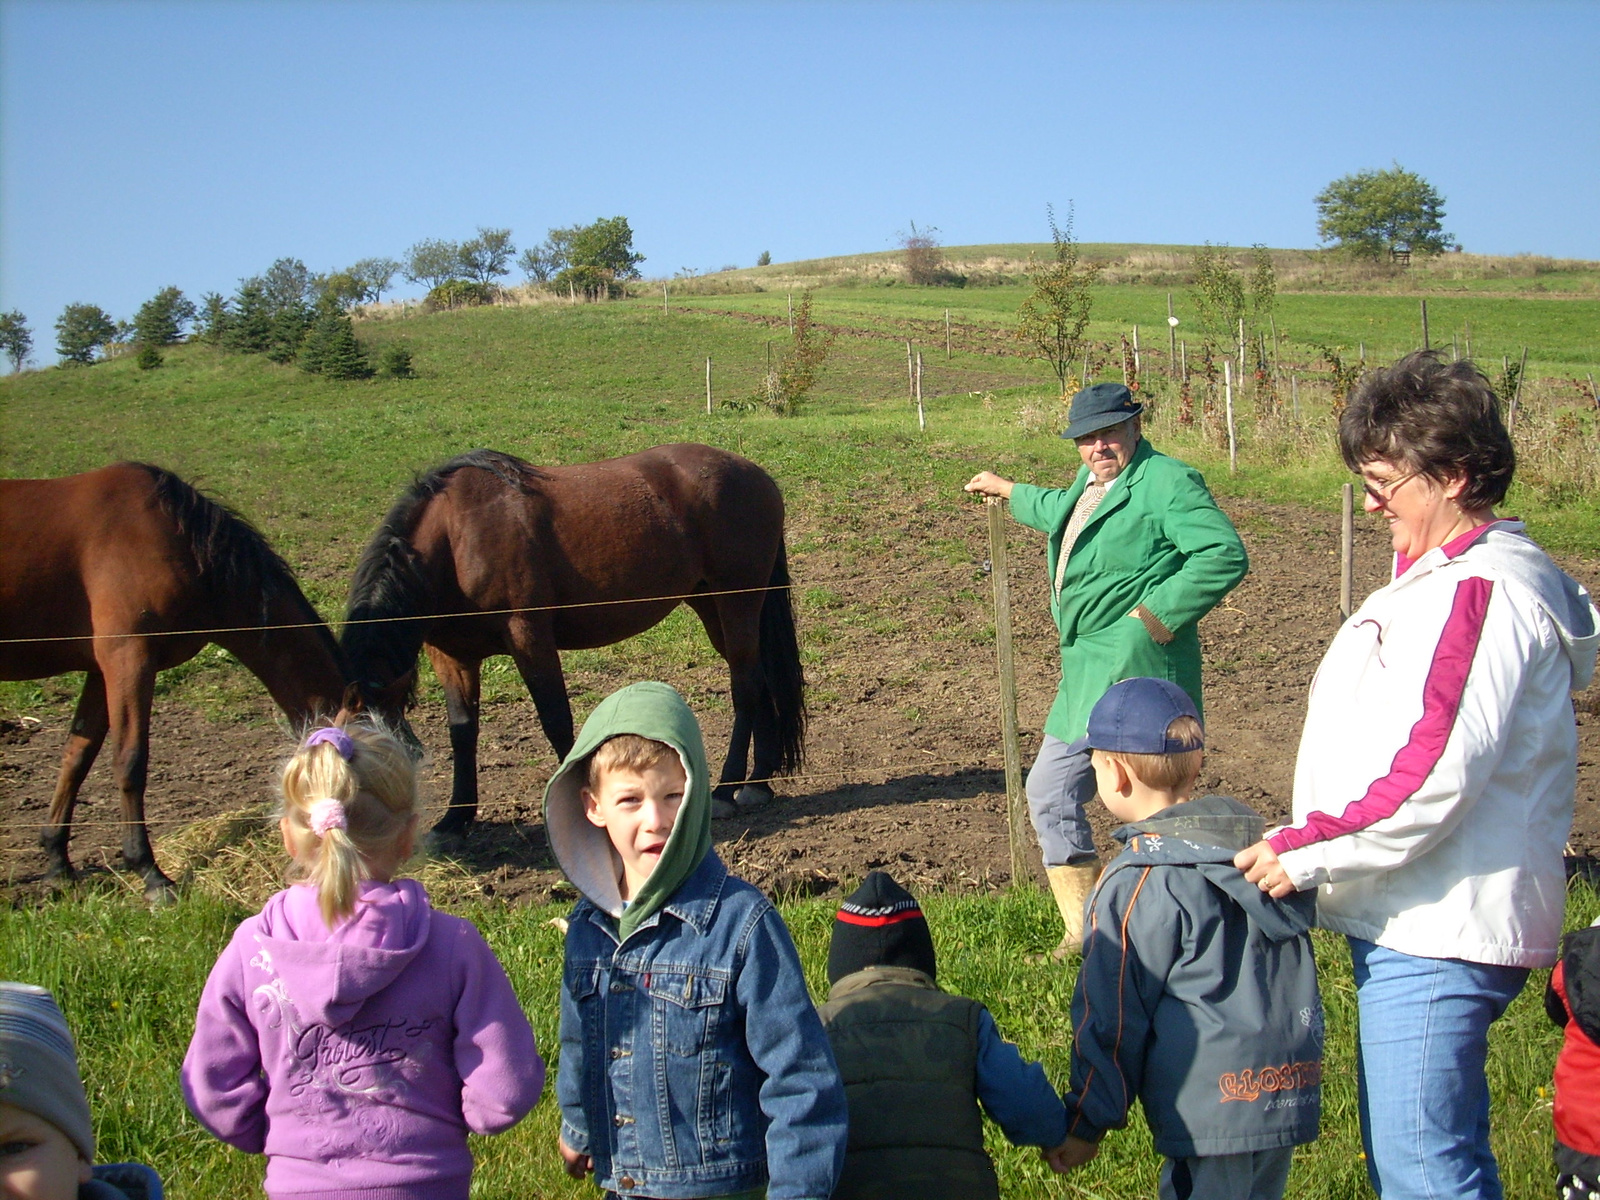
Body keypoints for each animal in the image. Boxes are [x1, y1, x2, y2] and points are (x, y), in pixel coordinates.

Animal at [0, 464, 348, 896]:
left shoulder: (100, 670)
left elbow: (76, 756)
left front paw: (57, 863)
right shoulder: (128, 660)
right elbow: (130, 762)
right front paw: (148, 871)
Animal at [344, 444, 806, 838]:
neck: (455, 538)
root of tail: (757, 475)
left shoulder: (529, 635)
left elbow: (556, 719)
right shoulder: (451, 657)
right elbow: (462, 731)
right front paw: (454, 821)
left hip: (737, 600)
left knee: (745, 687)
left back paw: (727, 789)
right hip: (711, 604)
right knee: (759, 679)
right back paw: (759, 783)